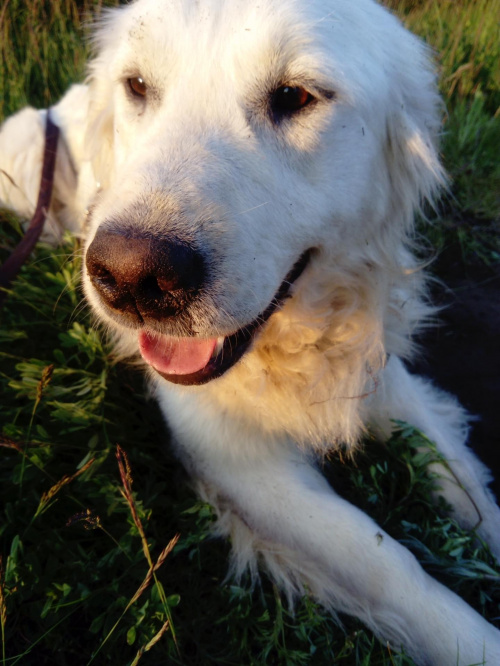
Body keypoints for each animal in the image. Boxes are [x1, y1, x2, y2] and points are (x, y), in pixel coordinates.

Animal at [1, 0, 500, 663]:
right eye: (138, 86)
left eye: (294, 96)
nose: (132, 278)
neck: (296, 343)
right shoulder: (241, 462)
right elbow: (389, 566)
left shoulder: (386, 381)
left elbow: (467, 484)